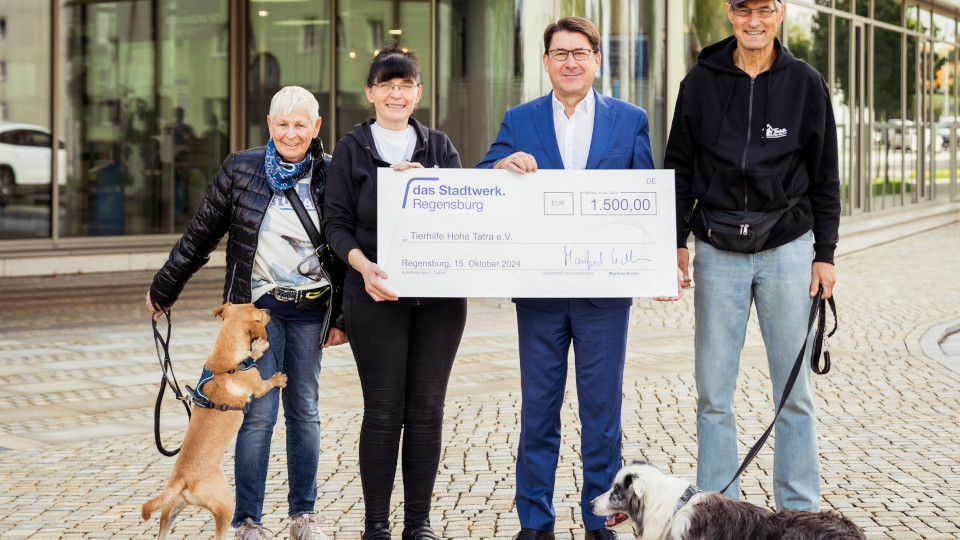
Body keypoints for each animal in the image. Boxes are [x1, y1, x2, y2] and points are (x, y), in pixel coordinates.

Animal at [142, 304, 284, 540]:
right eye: (258, 312)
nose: (268, 308)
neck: (224, 362)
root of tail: (183, 480)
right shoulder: (258, 386)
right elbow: (267, 380)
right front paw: (278, 376)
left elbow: (251, 355)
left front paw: (256, 348)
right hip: (226, 504)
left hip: (171, 509)